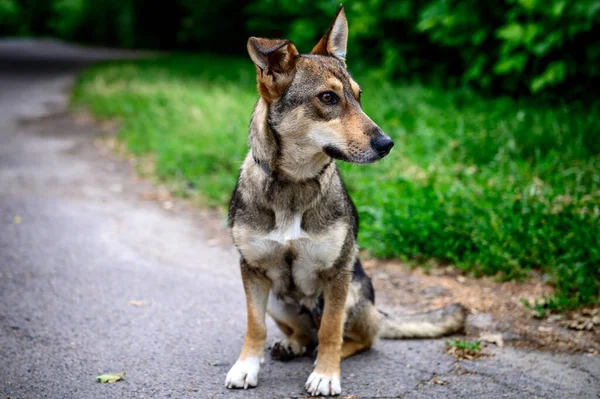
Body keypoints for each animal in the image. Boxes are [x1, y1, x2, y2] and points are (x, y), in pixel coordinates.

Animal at [225, 5, 468, 396]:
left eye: (359, 95)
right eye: (328, 98)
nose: (387, 144)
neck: (294, 183)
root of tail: (378, 311)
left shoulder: (337, 274)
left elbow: (330, 331)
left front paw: (326, 374)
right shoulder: (253, 270)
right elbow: (255, 325)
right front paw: (247, 366)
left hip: (354, 293)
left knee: (354, 337)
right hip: (278, 300)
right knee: (303, 333)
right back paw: (291, 344)